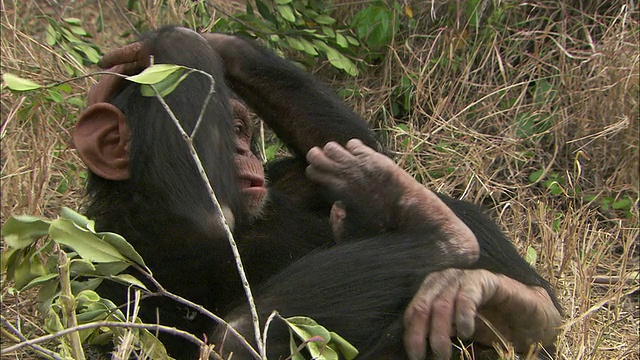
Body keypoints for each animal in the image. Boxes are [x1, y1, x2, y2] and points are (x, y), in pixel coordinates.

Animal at [76, 26, 560, 358]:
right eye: (225, 129)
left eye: (238, 128)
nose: (241, 151)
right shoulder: (115, 245)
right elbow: (205, 219)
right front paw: (174, 41)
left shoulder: (286, 181)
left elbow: (363, 149)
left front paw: (201, 43)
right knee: (234, 336)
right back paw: (442, 234)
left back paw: (517, 308)